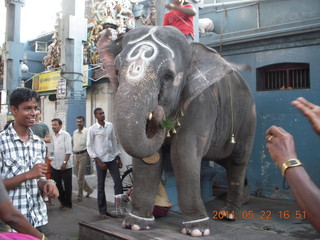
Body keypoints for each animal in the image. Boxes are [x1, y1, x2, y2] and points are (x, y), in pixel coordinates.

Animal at [97, 25, 255, 236]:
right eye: (116, 70)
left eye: (168, 76)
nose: (157, 113)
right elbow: (147, 161)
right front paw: (135, 224)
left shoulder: (201, 103)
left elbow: (183, 154)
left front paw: (197, 230)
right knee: (228, 163)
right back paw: (243, 200)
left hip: (247, 119)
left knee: (238, 161)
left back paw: (228, 214)